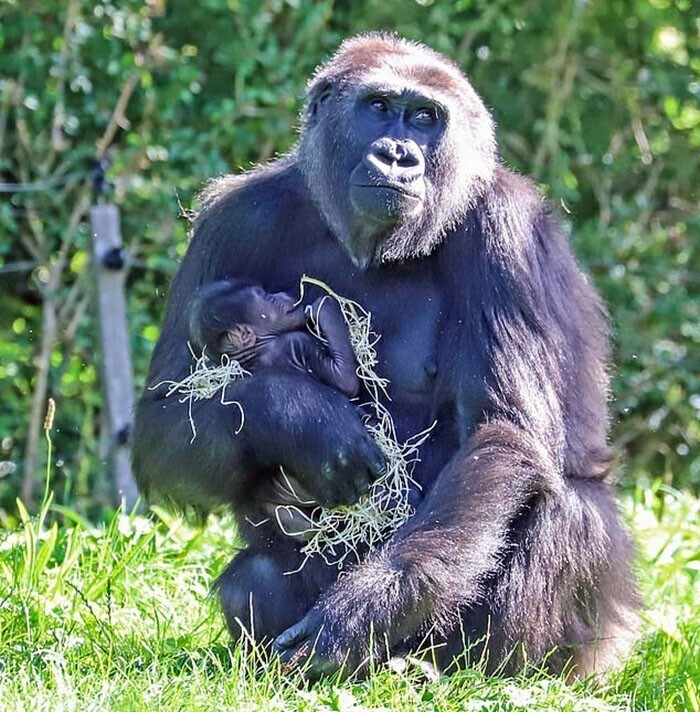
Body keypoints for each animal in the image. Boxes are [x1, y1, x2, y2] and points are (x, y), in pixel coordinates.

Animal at [189, 278, 358, 398]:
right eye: (268, 298)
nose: (282, 294)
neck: (258, 349)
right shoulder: (296, 343)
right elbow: (346, 380)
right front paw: (323, 305)